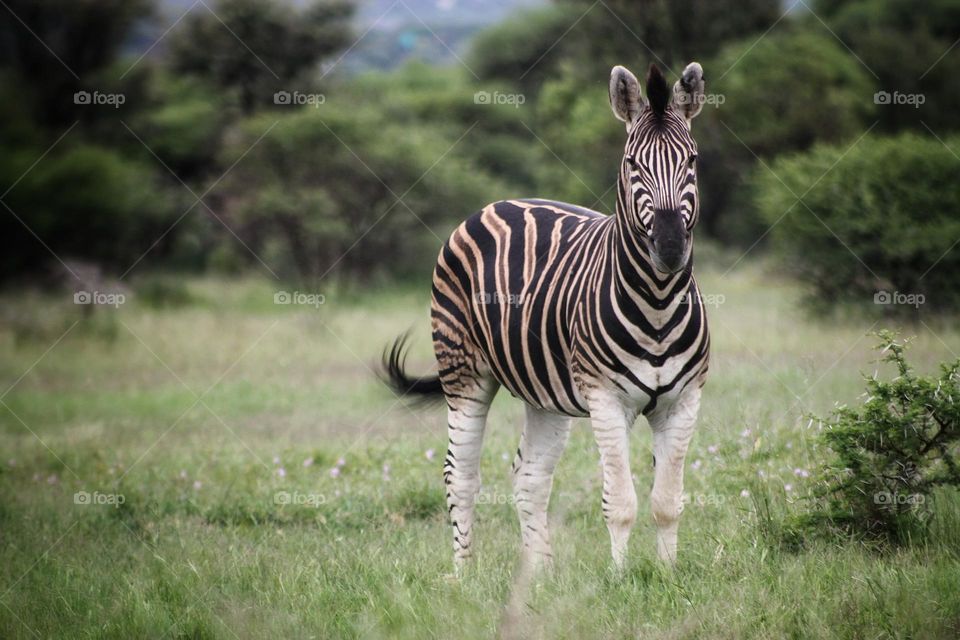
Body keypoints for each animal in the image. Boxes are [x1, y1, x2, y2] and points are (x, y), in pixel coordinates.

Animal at [384, 61, 712, 576]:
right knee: (460, 475)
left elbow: (667, 501)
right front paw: (620, 581)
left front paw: (668, 577)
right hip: (463, 372)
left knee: (529, 475)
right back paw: (463, 575)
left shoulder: (684, 402)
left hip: (545, 393)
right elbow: (621, 501)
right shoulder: (605, 399)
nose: (671, 246)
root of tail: (499, 202)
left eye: (692, 161)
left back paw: (539, 575)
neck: (658, 302)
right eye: (632, 164)